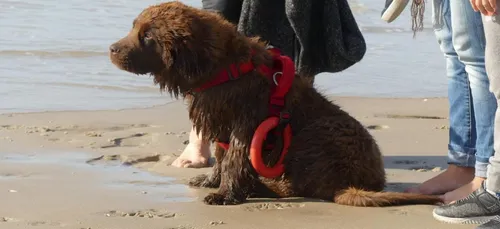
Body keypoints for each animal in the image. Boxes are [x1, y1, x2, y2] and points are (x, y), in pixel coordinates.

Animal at [109, 0, 442, 208]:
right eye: (134, 28)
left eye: (147, 37)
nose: (111, 49)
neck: (223, 68)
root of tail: (358, 184)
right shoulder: (222, 122)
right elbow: (222, 155)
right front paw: (213, 181)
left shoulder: (246, 123)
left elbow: (235, 159)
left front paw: (225, 194)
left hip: (318, 133)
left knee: (301, 187)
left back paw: (261, 187)